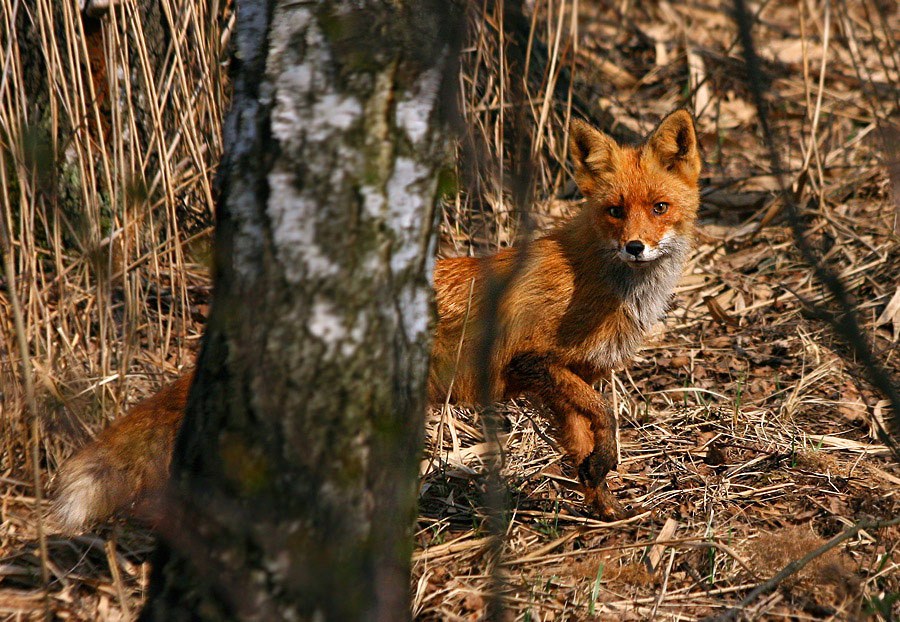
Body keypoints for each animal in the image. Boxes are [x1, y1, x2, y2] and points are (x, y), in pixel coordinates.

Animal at [54, 111, 704, 532]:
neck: (598, 280)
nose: (636, 248)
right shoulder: (533, 361)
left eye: (659, 208)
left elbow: (587, 442)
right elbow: (605, 419)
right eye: (614, 211)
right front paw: (606, 475)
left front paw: (605, 506)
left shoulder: (573, 376)